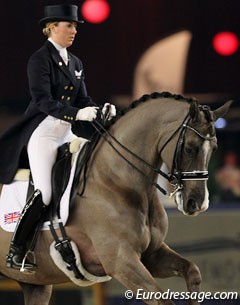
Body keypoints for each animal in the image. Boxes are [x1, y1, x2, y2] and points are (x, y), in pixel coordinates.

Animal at [0, 92, 232, 304]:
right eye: (189, 148)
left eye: (215, 148)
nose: (197, 203)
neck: (116, 181)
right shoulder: (122, 262)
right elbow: (163, 300)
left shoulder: (151, 255)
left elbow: (192, 270)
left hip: (36, 284)